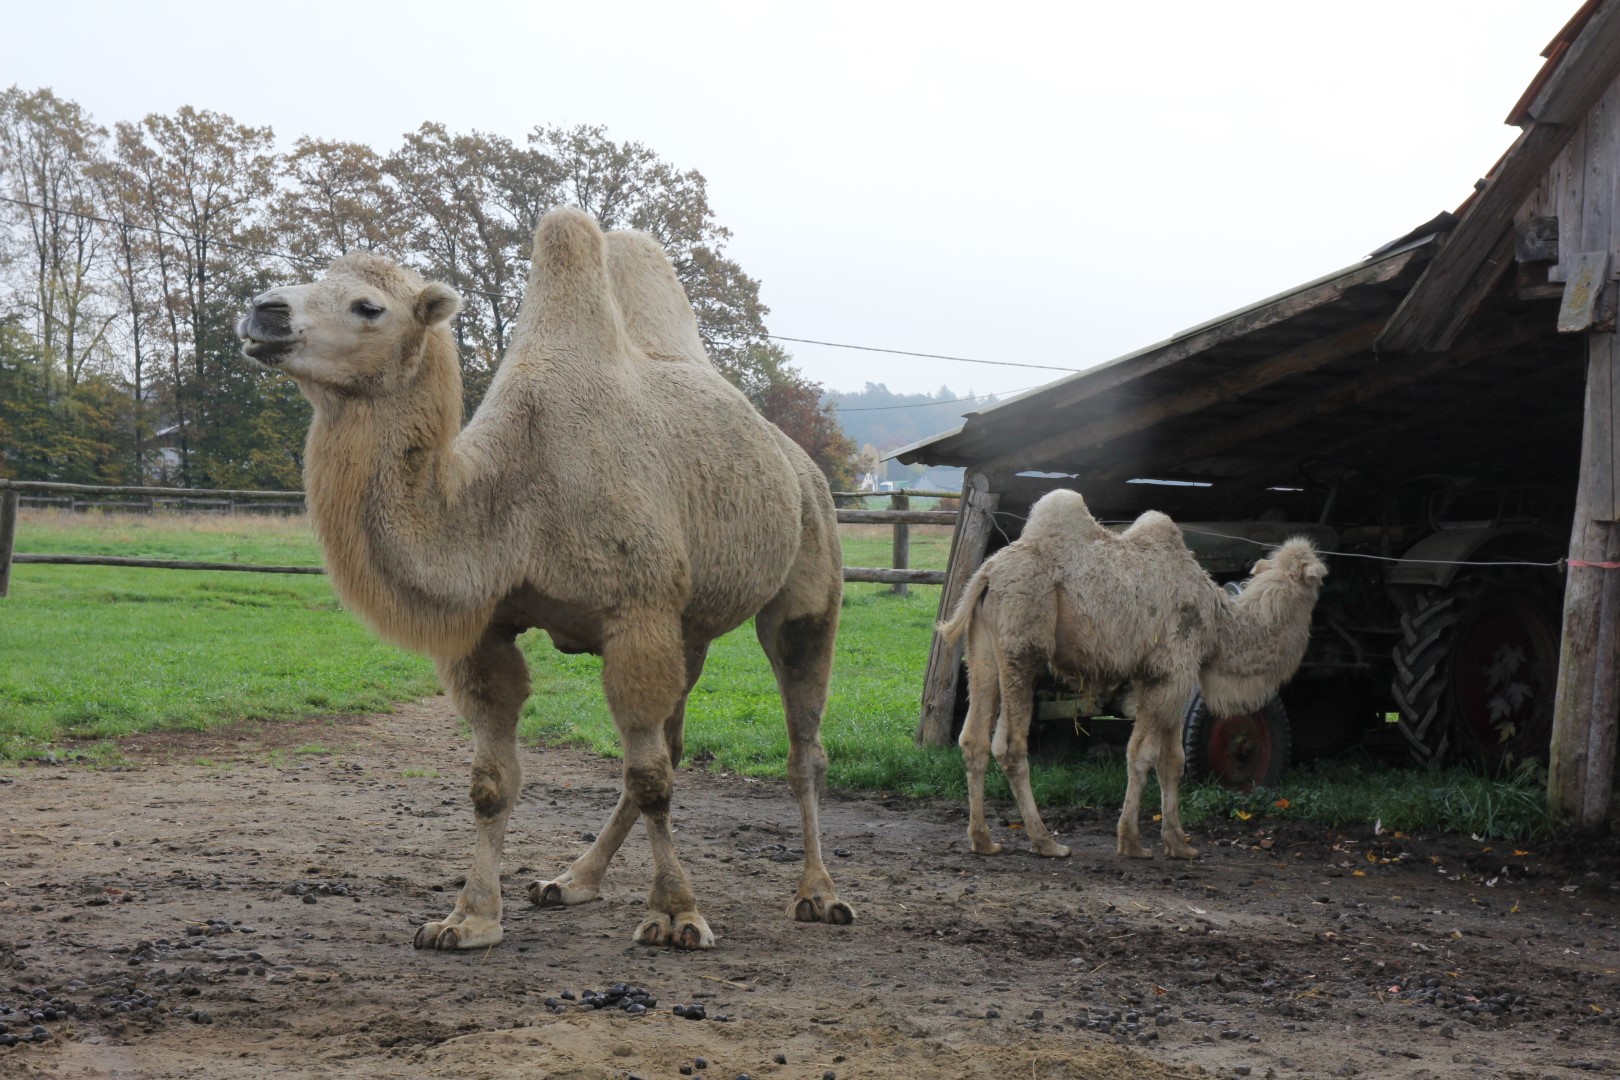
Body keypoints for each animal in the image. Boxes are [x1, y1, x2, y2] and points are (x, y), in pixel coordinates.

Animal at [236, 207, 861, 952]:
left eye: (368, 306)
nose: (264, 311)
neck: (510, 499)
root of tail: (799, 462)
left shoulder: (637, 613)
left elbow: (648, 776)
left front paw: (676, 913)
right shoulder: (488, 632)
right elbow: (492, 781)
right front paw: (468, 918)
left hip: (808, 574)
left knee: (801, 745)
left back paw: (820, 894)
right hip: (690, 627)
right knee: (675, 743)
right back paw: (572, 879)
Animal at [939, 488, 1328, 861]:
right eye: (1318, 579)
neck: (1219, 625)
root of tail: (987, 573)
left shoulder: (1166, 680)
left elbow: (1173, 761)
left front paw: (1179, 845)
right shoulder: (1170, 672)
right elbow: (1142, 754)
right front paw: (1131, 843)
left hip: (982, 647)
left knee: (973, 738)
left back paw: (983, 841)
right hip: (1022, 644)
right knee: (1009, 744)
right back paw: (1046, 842)